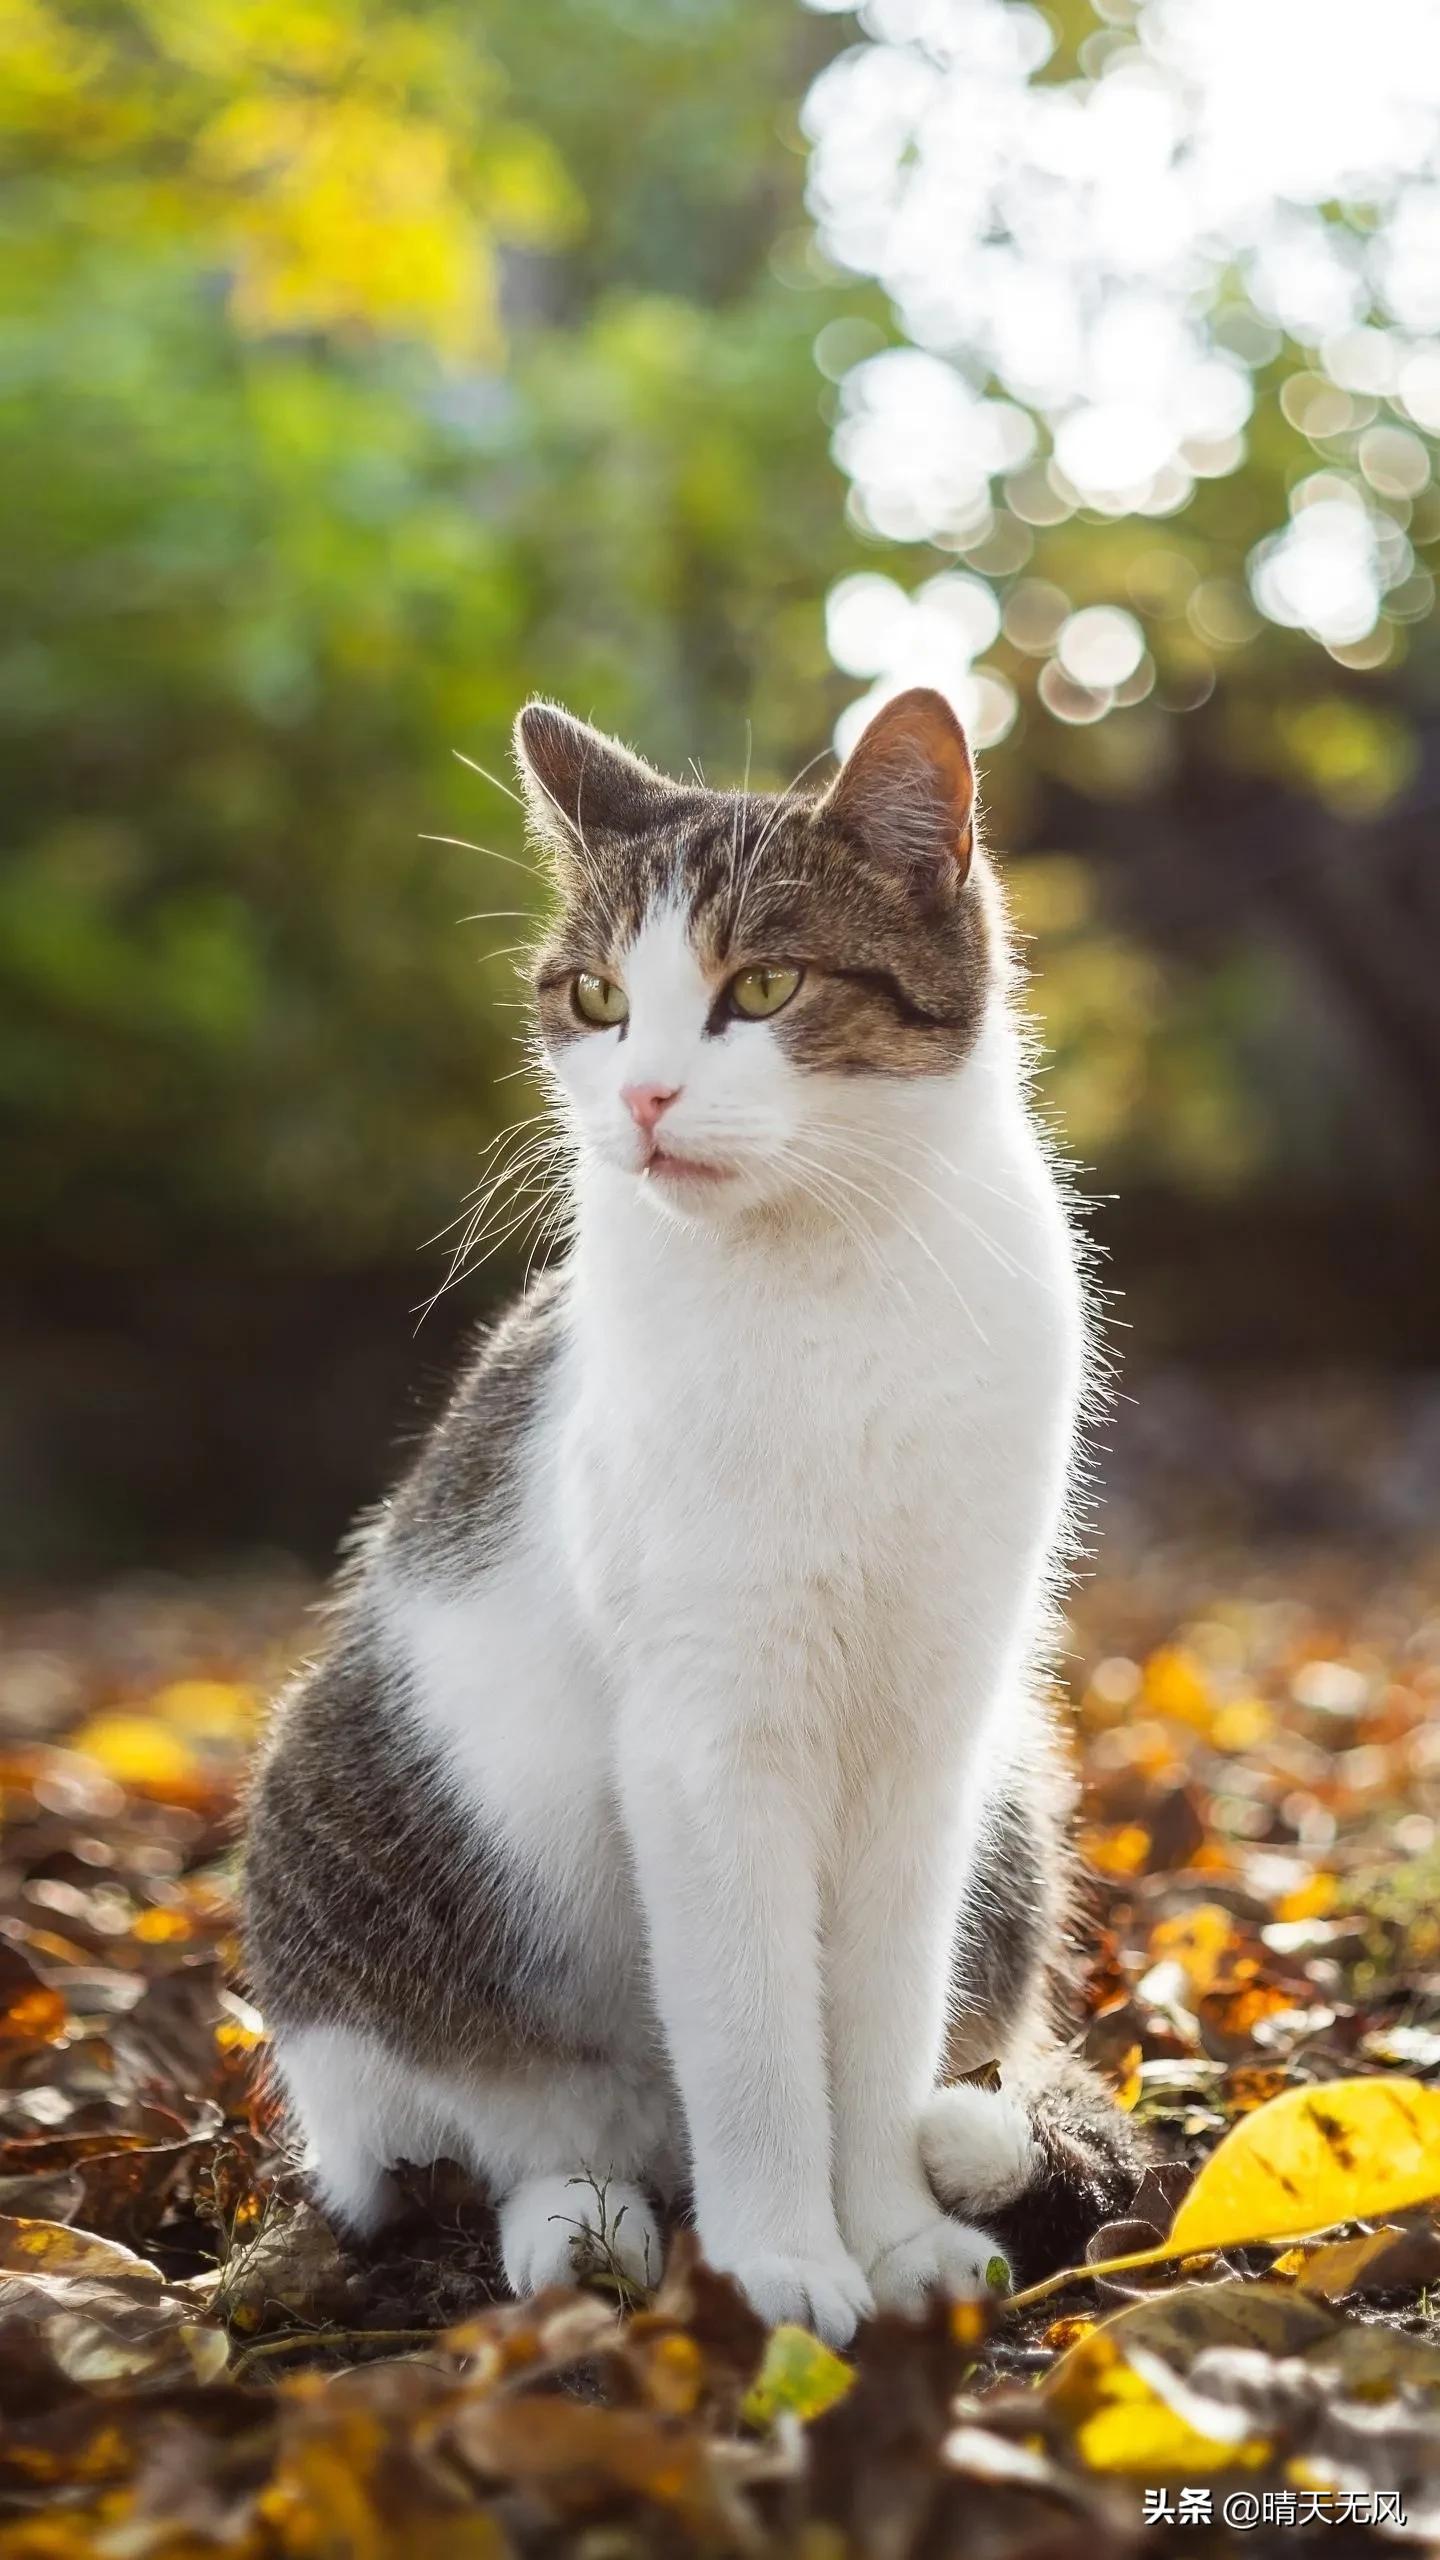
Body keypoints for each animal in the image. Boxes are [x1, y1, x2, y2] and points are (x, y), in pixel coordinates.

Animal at [249, 686, 1142, 2344]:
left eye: (765, 984)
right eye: (597, 997)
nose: (646, 1097)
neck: (829, 1278)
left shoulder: (930, 1733)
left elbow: (875, 2024)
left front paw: (892, 2237)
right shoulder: (707, 1736)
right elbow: (753, 2036)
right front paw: (785, 2259)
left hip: (1011, 1793)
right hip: (345, 1839)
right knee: (464, 2143)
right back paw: (581, 2218)